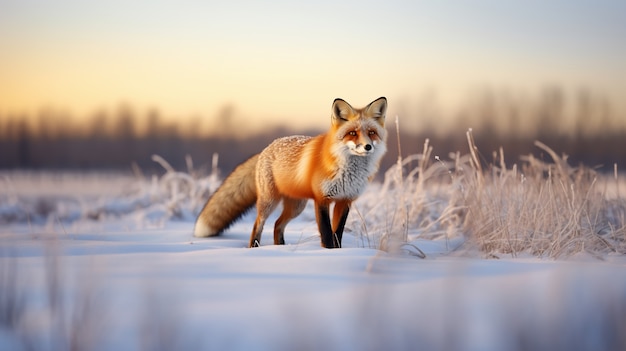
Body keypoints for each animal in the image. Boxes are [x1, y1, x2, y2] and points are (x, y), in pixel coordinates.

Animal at [193, 97, 386, 249]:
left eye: (372, 133)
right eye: (352, 133)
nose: (367, 146)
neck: (348, 171)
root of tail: (265, 148)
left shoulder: (345, 200)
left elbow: (337, 233)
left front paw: (338, 253)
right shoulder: (322, 199)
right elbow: (326, 233)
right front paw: (327, 253)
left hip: (296, 206)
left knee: (277, 225)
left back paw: (281, 248)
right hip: (269, 201)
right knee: (258, 225)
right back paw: (255, 249)